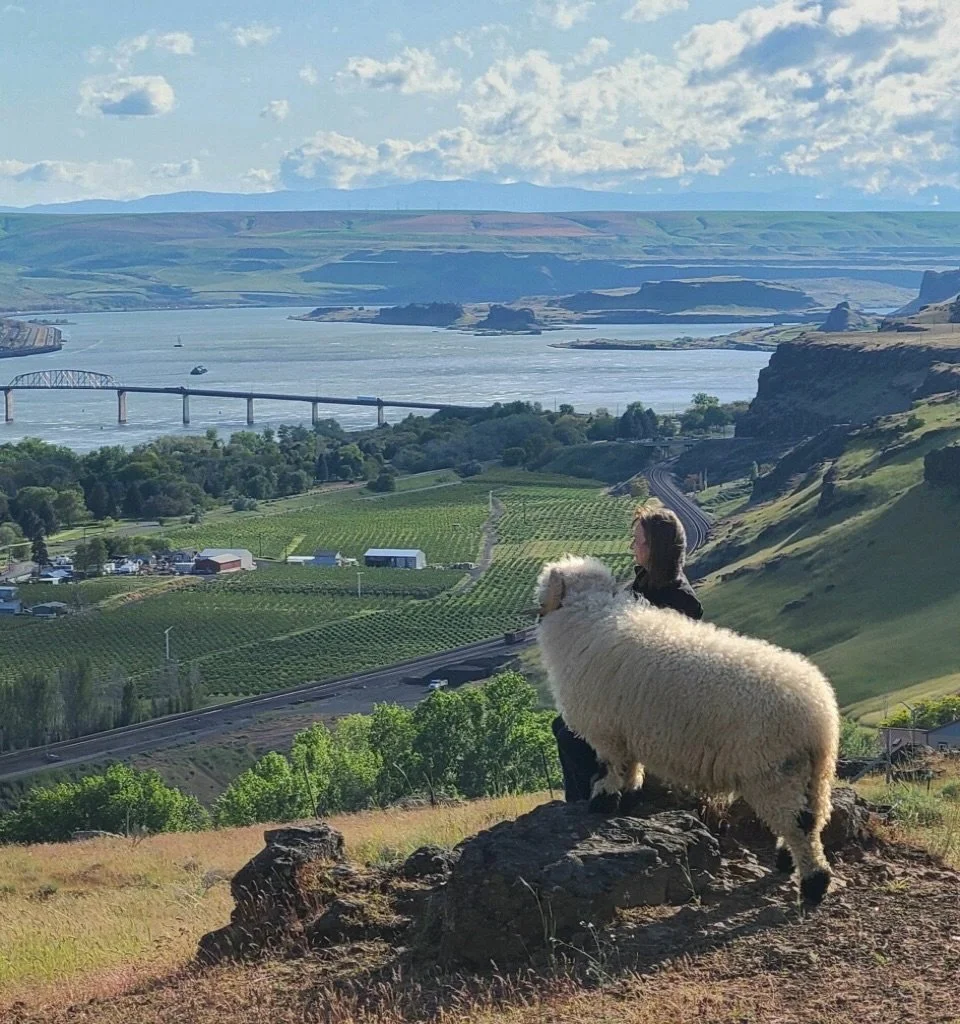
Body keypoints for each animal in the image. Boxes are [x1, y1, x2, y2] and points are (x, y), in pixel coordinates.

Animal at [536, 554, 840, 905]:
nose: (537, 610)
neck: (587, 615)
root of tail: (818, 715)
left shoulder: (606, 731)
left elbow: (610, 767)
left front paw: (603, 801)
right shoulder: (628, 728)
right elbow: (631, 767)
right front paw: (629, 797)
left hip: (773, 769)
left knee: (799, 827)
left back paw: (814, 884)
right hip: (812, 773)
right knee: (813, 818)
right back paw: (788, 861)